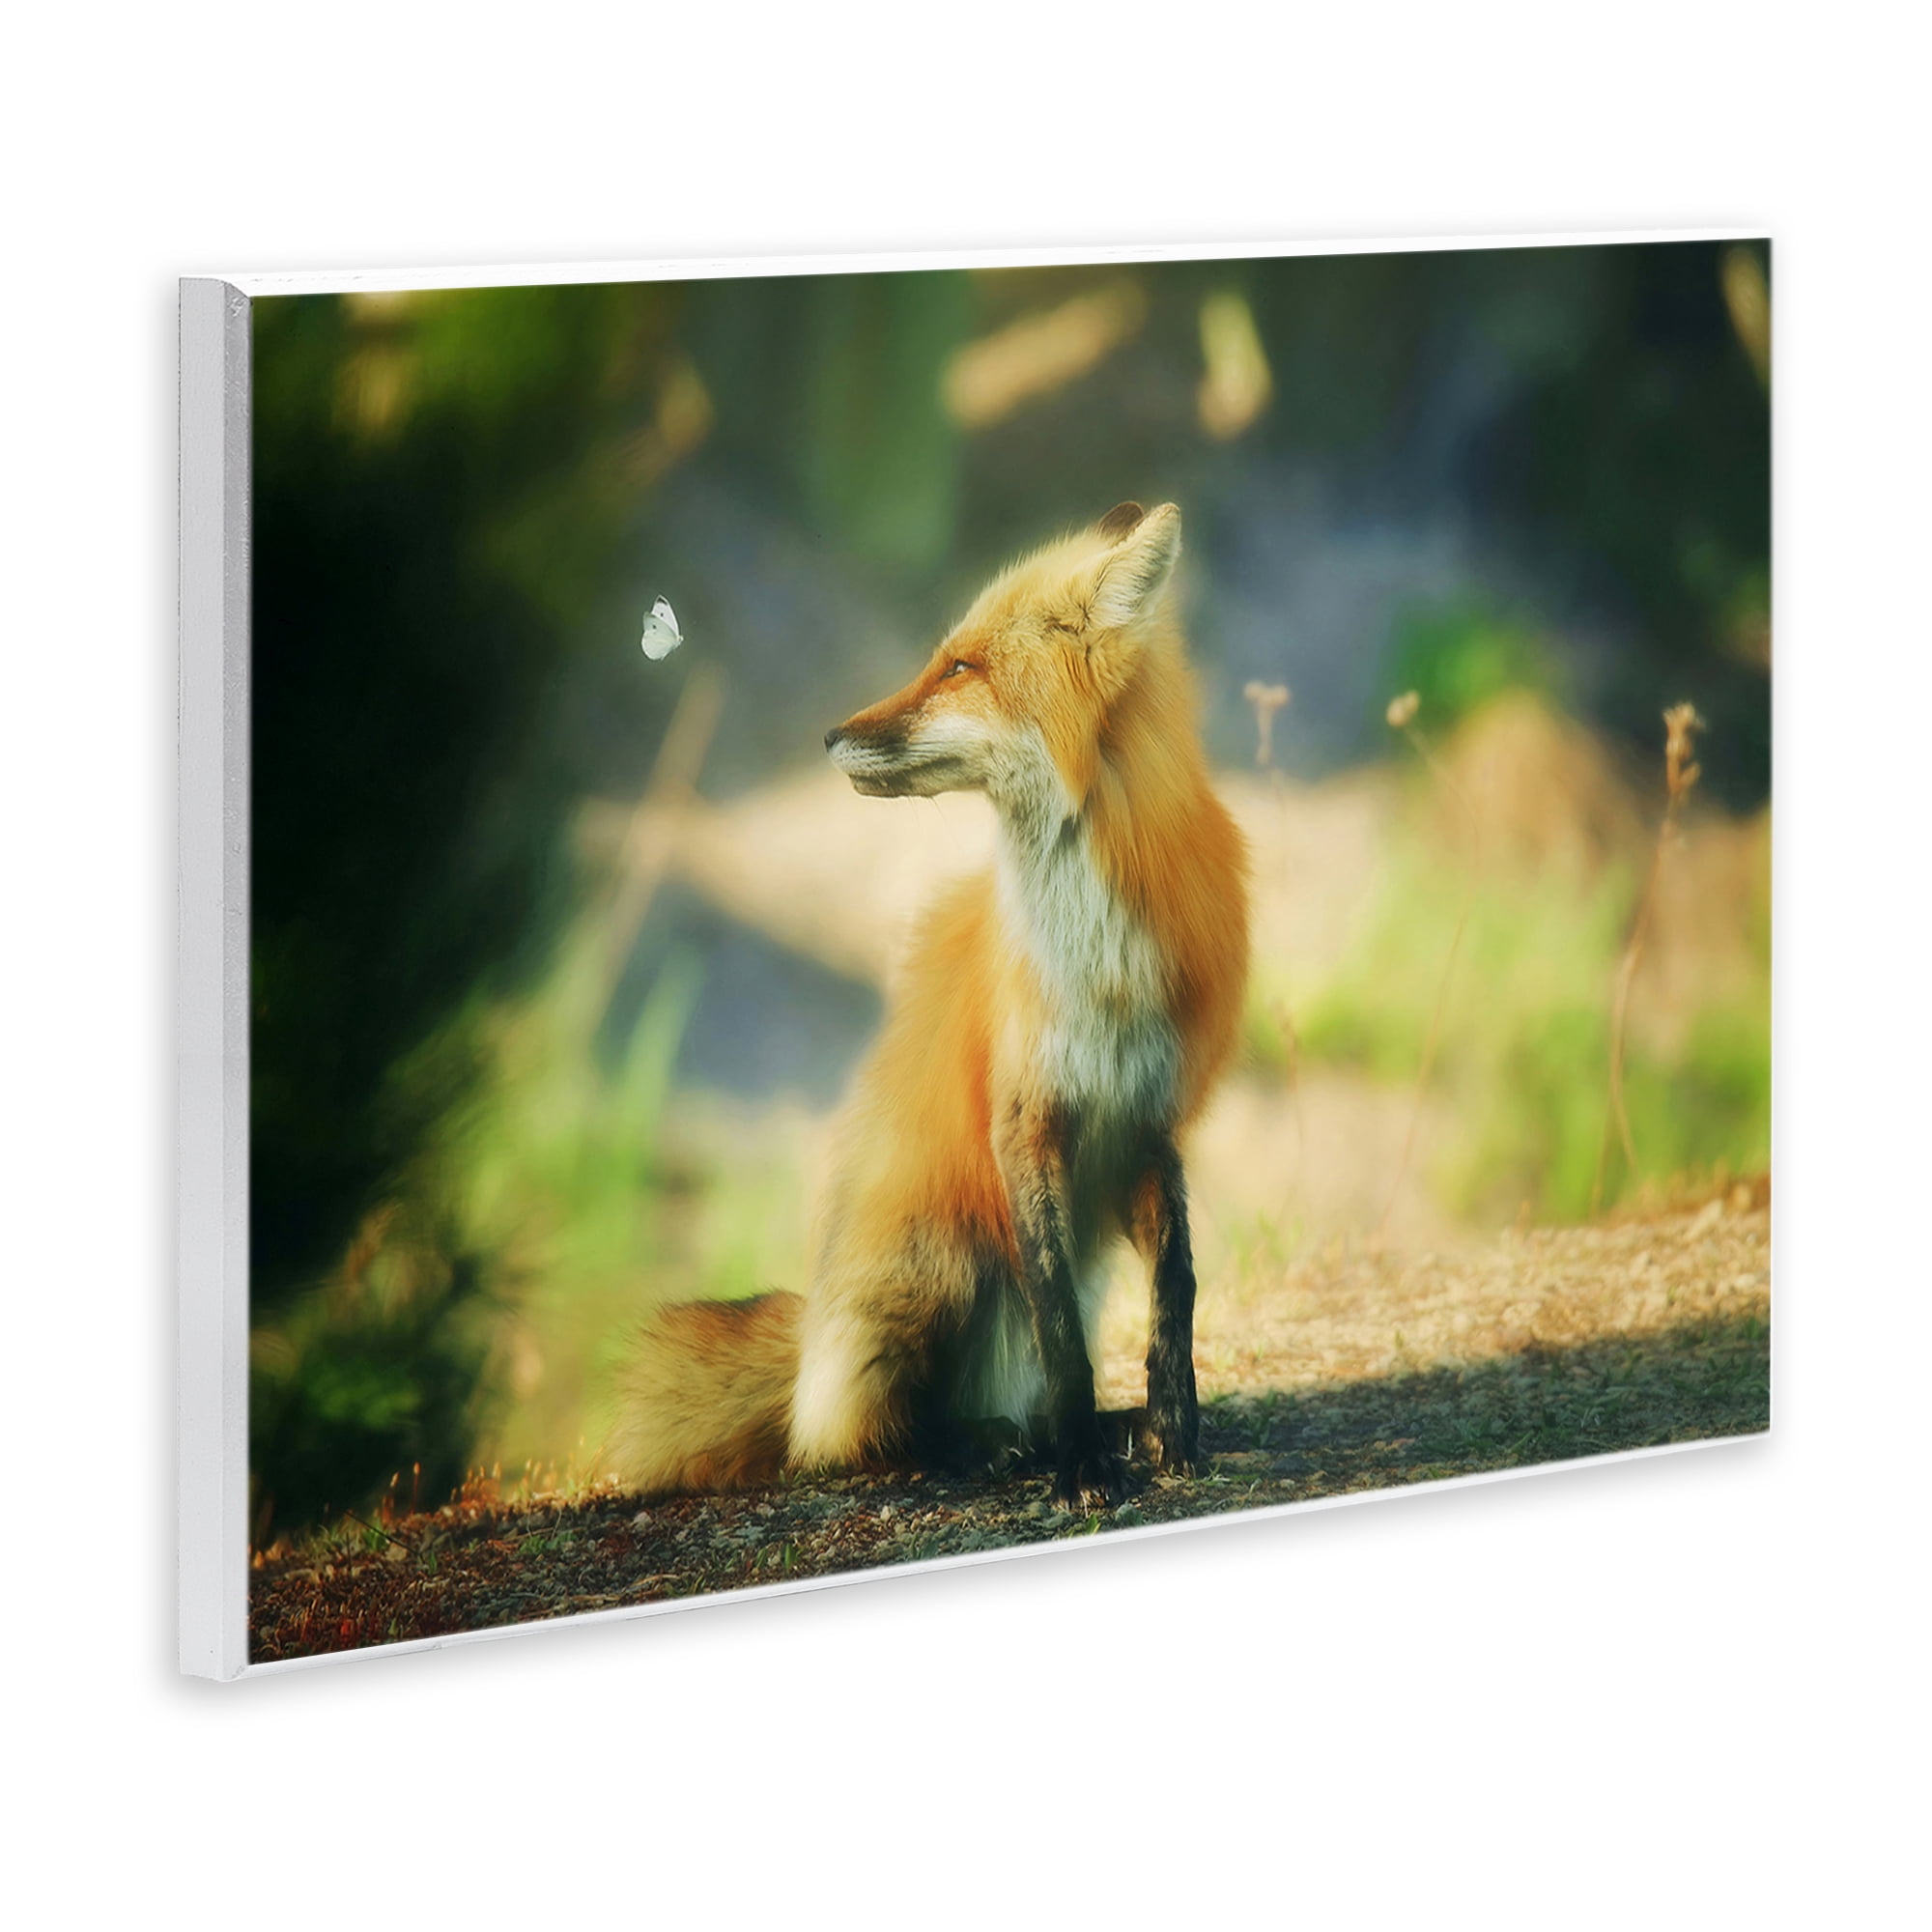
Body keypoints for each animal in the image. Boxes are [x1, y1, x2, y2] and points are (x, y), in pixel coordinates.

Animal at [612, 501, 1249, 1508]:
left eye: (959, 669)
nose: (827, 734)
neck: (1095, 960)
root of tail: (812, 1352)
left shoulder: (1152, 1117)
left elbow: (1176, 1292)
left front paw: (1173, 1431)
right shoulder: (1021, 1120)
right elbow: (1062, 1333)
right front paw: (1081, 1467)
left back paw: (1088, 1429)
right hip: (943, 1253)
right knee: (862, 1439)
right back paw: (987, 1444)